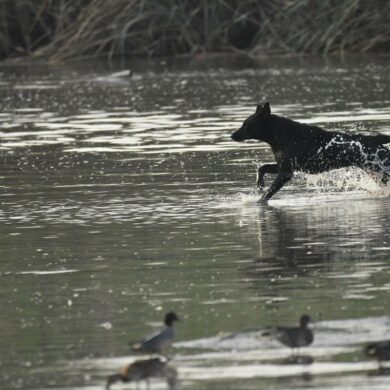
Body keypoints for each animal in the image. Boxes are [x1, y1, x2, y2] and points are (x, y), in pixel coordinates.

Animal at [232, 102, 390, 200]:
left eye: (246, 124)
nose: (232, 135)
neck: (280, 135)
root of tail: (376, 139)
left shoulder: (286, 173)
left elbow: (267, 195)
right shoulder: (283, 166)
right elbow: (262, 167)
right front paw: (259, 182)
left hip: (381, 169)